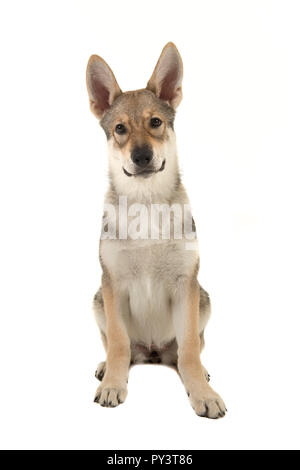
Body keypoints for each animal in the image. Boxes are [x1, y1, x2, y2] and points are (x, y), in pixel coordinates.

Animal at [85, 43, 226, 418]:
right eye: (120, 128)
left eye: (156, 122)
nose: (142, 156)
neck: (146, 205)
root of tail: (150, 352)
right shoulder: (113, 284)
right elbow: (118, 343)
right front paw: (113, 384)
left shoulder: (185, 284)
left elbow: (189, 348)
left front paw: (202, 393)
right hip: (98, 300)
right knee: (116, 346)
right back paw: (106, 368)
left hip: (203, 299)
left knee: (188, 350)